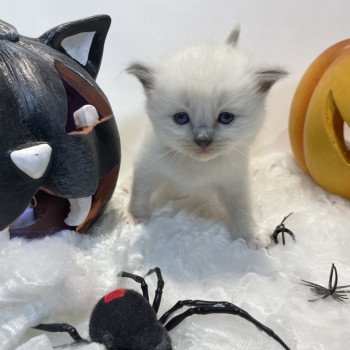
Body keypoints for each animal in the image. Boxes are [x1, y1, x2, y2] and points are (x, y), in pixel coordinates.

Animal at [127, 27, 286, 249]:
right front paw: (135, 219)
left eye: (226, 117)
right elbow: (139, 194)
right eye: (181, 118)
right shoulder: (147, 165)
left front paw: (250, 235)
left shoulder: (234, 179)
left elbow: (242, 209)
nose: (202, 139)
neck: (196, 165)